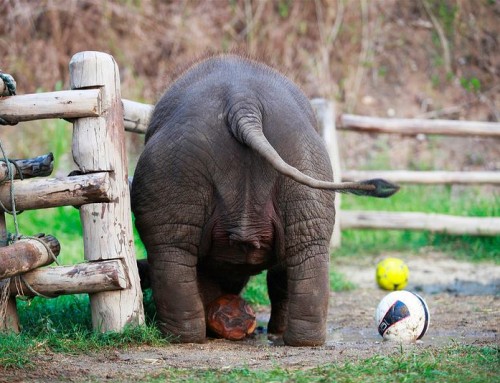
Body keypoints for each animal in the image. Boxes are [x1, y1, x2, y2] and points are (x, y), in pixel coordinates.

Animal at [132, 54, 398, 348]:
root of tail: (242, 102)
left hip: (187, 162)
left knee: (173, 249)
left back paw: (183, 337)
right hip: (295, 155)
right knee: (307, 247)